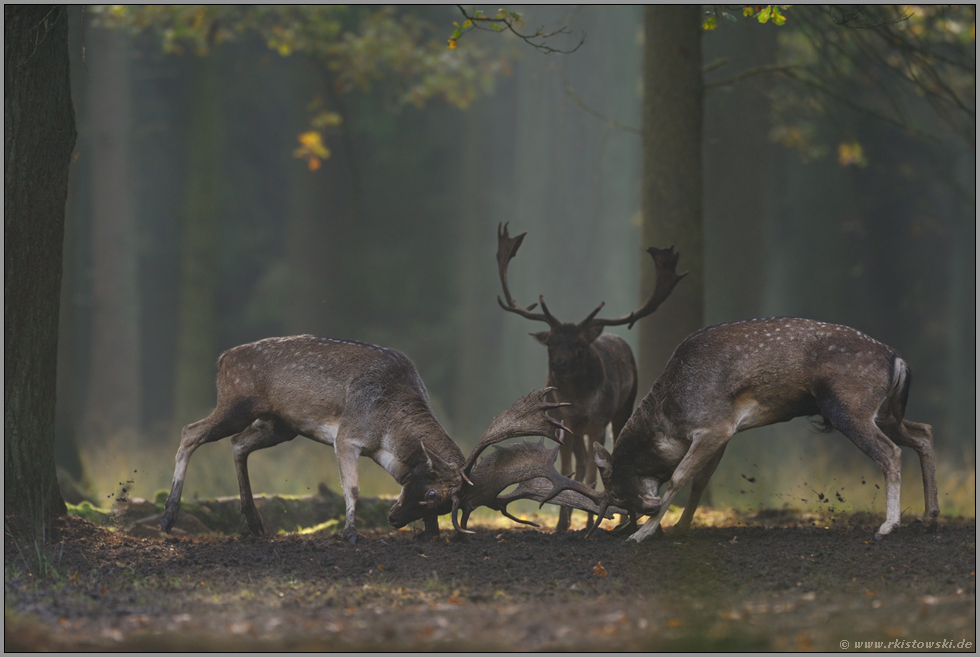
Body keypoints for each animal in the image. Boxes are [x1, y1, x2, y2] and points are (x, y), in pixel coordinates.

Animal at [494, 223, 684, 532]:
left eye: (580, 345)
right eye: (551, 342)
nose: (559, 364)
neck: (577, 401)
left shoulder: (597, 420)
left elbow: (597, 469)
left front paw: (594, 519)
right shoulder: (562, 422)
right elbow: (568, 468)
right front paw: (563, 523)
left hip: (622, 408)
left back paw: (615, 519)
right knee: (582, 463)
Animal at [584, 316, 936, 540]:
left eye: (616, 492)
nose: (648, 508)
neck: (672, 420)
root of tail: (899, 361)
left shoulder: (714, 424)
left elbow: (680, 477)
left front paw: (643, 534)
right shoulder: (723, 434)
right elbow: (700, 481)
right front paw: (680, 528)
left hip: (850, 407)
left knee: (891, 452)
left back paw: (888, 526)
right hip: (884, 413)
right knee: (924, 432)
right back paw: (930, 516)